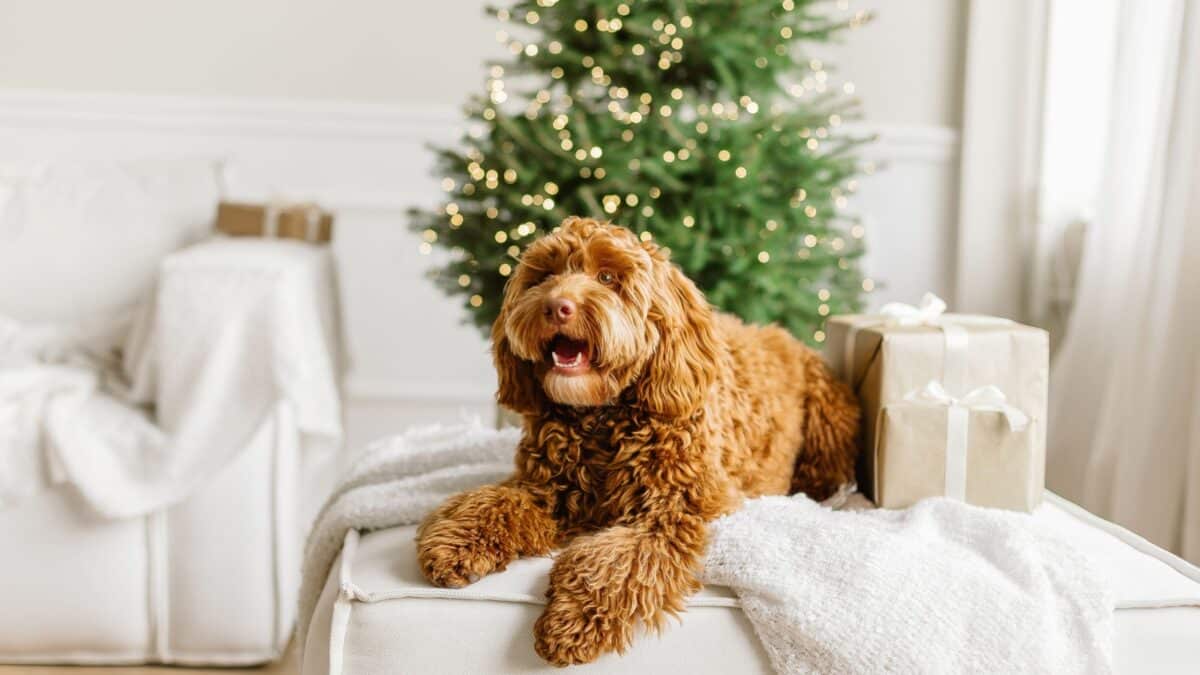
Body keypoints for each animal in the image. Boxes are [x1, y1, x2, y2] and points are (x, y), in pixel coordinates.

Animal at [417, 216, 859, 662]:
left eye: (607, 277)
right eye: (544, 276)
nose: (556, 306)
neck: (601, 417)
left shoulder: (673, 512)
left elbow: (615, 562)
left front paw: (571, 619)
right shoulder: (545, 487)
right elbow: (492, 503)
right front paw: (455, 544)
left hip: (829, 417)